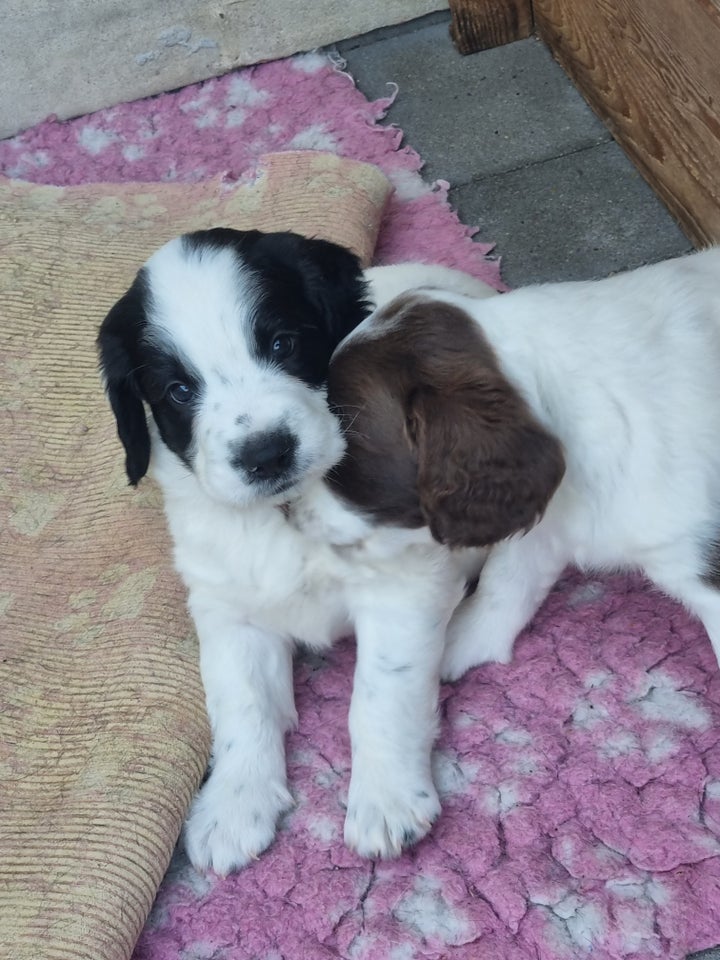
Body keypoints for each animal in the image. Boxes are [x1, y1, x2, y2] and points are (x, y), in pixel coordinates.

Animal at [97, 229, 496, 872]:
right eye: (178, 391)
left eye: (283, 343)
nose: (265, 454)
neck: (284, 516)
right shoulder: (229, 609)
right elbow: (241, 703)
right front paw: (234, 803)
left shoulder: (403, 588)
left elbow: (381, 694)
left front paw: (385, 799)